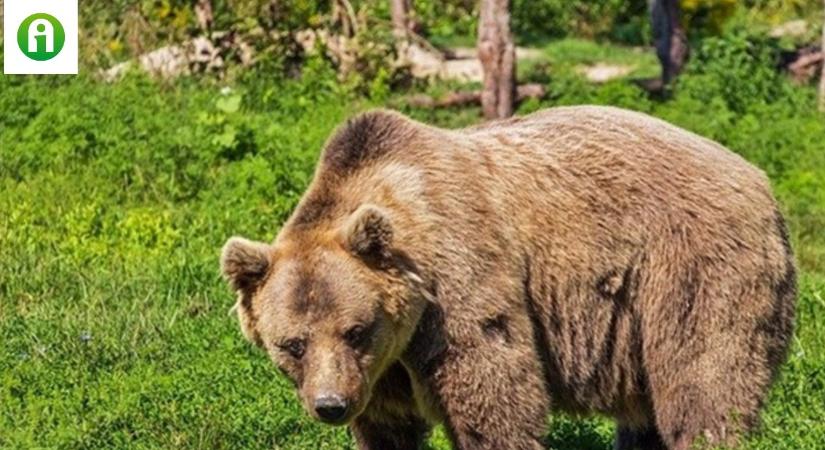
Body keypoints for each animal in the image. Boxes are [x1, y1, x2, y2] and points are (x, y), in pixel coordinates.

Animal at [219, 106, 792, 450]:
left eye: (356, 330)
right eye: (292, 344)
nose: (331, 406)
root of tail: (759, 178)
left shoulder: (457, 284)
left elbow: (493, 390)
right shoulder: (382, 372)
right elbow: (388, 426)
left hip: (690, 266)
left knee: (704, 379)